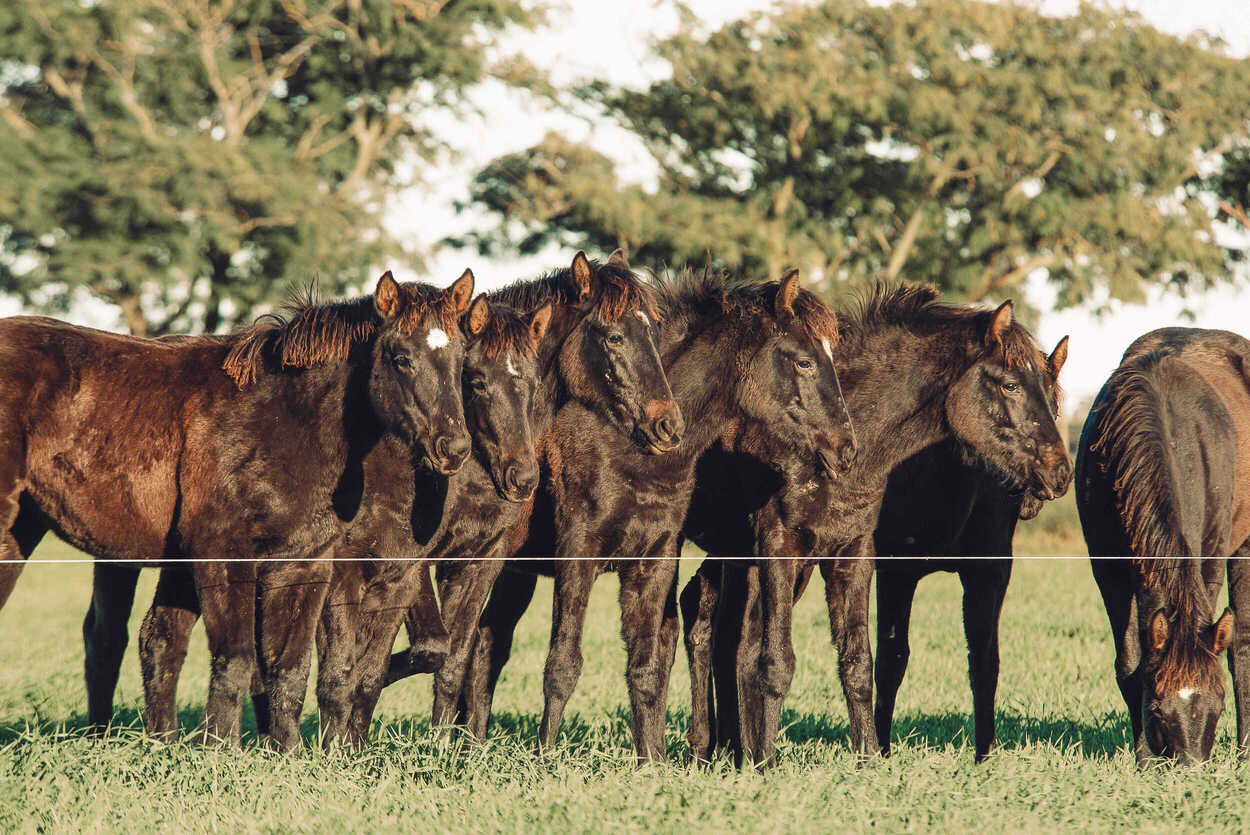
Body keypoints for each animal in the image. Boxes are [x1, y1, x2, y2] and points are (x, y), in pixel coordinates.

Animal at [0, 270, 475, 748]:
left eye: (460, 359)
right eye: (401, 357)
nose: (453, 448)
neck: (287, 421)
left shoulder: (303, 564)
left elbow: (288, 670)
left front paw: (285, 754)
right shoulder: (225, 557)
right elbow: (237, 661)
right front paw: (218, 751)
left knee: (150, 638)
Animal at [411, 268, 857, 762]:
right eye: (804, 362)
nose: (845, 448)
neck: (624, 445)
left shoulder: (654, 557)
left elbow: (647, 666)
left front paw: (652, 762)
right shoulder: (578, 553)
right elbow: (563, 663)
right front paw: (546, 758)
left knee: (487, 643)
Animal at [680, 283, 1071, 766]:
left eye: (1054, 400)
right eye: (1011, 384)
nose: (1060, 474)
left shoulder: (859, 553)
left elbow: (865, 661)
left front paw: (869, 757)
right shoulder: (790, 548)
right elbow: (781, 661)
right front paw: (768, 762)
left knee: (711, 618)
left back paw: (718, 749)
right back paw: (716, 749)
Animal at [1077, 327, 1250, 764]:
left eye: (1217, 705)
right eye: (1157, 708)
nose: (1192, 767)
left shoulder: (1209, 558)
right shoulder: (1107, 568)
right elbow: (1130, 663)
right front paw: (1143, 759)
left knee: (1240, 645)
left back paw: (1244, 752)